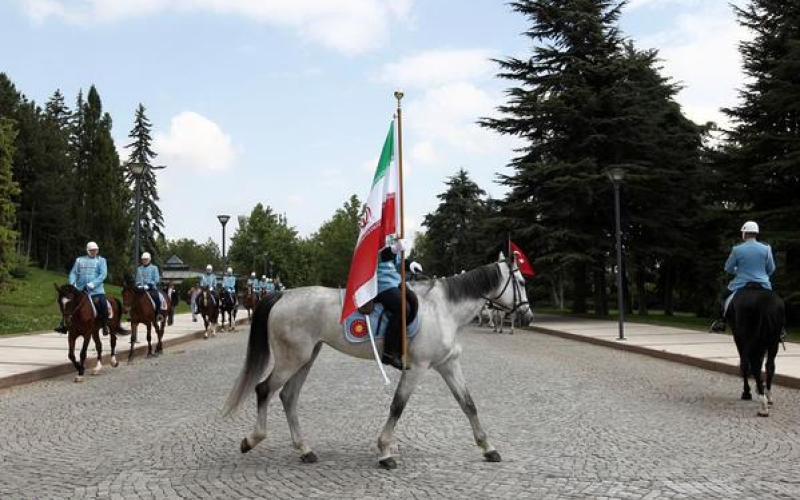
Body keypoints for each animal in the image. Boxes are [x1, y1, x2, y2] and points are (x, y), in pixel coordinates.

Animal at [223, 254, 532, 468]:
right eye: (522, 282)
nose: (527, 317)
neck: (443, 309)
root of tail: (284, 294)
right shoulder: (417, 368)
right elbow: (397, 406)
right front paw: (384, 451)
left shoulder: (448, 364)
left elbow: (468, 404)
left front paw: (488, 447)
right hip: (291, 359)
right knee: (264, 389)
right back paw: (252, 439)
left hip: (306, 357)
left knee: (288, 396)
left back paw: (305, 449)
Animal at [728, 284, 784, 416]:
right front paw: (760, 388)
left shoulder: (739, 338)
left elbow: (745, 364)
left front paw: (747, 392)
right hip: (772, 341)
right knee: (769, 365)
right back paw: (767, 397)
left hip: (747, 339)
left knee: (752, 365)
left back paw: (762, 404)